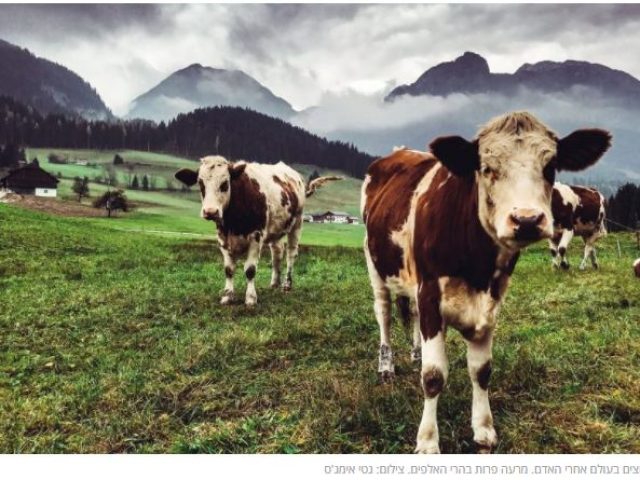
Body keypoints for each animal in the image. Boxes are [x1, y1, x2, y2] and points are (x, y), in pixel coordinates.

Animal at [175, 158, 340, 308]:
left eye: (225, 183)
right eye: (200, 183)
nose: (210, 211)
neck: (233, 222)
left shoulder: (256, 237)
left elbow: (250, 270)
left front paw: (250, 299)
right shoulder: (222, 239)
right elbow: (228, 270)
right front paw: (227, 296)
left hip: (297, 223)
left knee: (291, 254)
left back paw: (286, 285)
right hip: (276, 230)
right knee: (277, 253)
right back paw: (274, 283)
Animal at [360, 110, 608, 452]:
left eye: (550, 166)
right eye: (486, 168)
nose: (527, 220)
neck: (474, 263)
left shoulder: (491, 299)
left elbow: (482, 370)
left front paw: (483, 428)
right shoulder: (430, 293)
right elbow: (433, 375)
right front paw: (427, 441)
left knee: (409, 314)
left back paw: (414, 352)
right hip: (375, 264)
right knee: (383, 312)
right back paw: (386, 366)